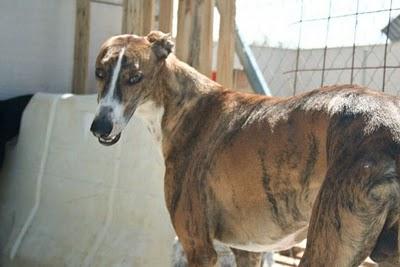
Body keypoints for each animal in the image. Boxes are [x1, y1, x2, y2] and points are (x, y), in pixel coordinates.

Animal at [90, 30, 400, 266]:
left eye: (135, 78)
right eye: (99, 73)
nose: (99, 127)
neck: (183, 105)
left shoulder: (198, 247)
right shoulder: (248, 250)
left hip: (327, 246)